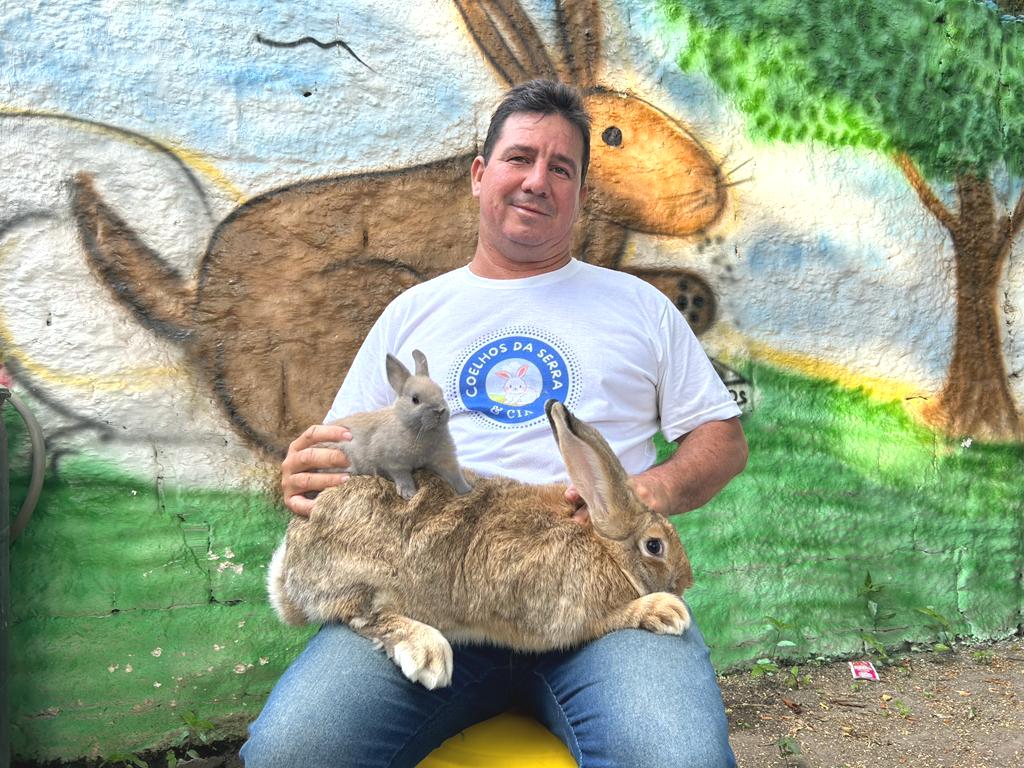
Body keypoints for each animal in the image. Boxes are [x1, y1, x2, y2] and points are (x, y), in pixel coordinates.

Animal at [267, 399, 693, 690]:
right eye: (655, 547)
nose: (686, 582)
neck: (605, 549)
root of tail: (288, 576)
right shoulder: (567, 614)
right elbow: (612, 617)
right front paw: (666, 611)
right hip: (368, 576)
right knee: (364, 616)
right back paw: (428, 655)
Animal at [318, 349, 471, 500]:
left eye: (441, 392)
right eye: (415, 399)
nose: (439, 411)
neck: (418, 430)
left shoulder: (443, 458)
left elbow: (454, 474)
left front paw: (467, 489)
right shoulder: (393, 462)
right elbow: (402, 476)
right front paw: (408, 493)